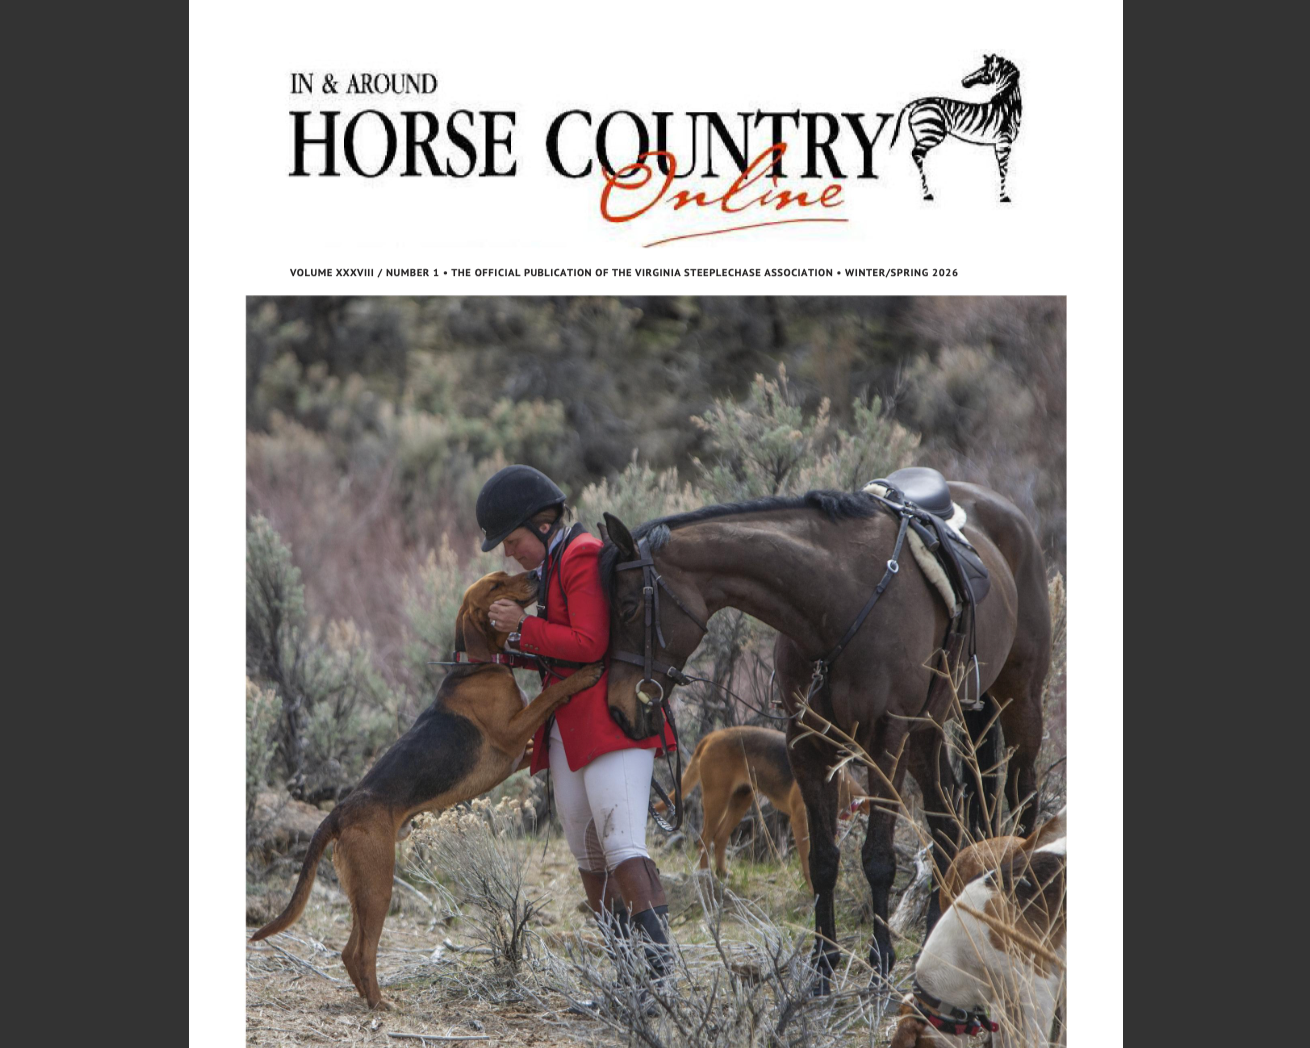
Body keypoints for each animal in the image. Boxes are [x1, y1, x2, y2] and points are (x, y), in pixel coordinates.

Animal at [598, 479, 1050, 990]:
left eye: (628, 608)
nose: (617, 709)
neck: (838, 601)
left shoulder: (885, 741)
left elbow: (877, 858)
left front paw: (880, 966)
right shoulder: (809, 746)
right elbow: (822, 860)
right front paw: (822, 968)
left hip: (1017, 705)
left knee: (1023, 800)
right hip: (930, 733)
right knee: (950, 821)